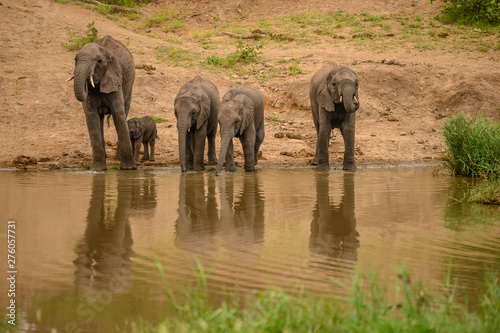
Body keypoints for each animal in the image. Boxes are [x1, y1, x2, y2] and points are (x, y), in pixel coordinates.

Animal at [72, 35, 135, 170]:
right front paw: (97, 169)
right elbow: (92, 117)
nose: (87, 80)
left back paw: (118, 157)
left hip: (129, 83)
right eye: (75, 59)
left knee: (125, 109)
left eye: (99, 61)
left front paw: (129, 169)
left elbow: (119, 114)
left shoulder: (116, 79)